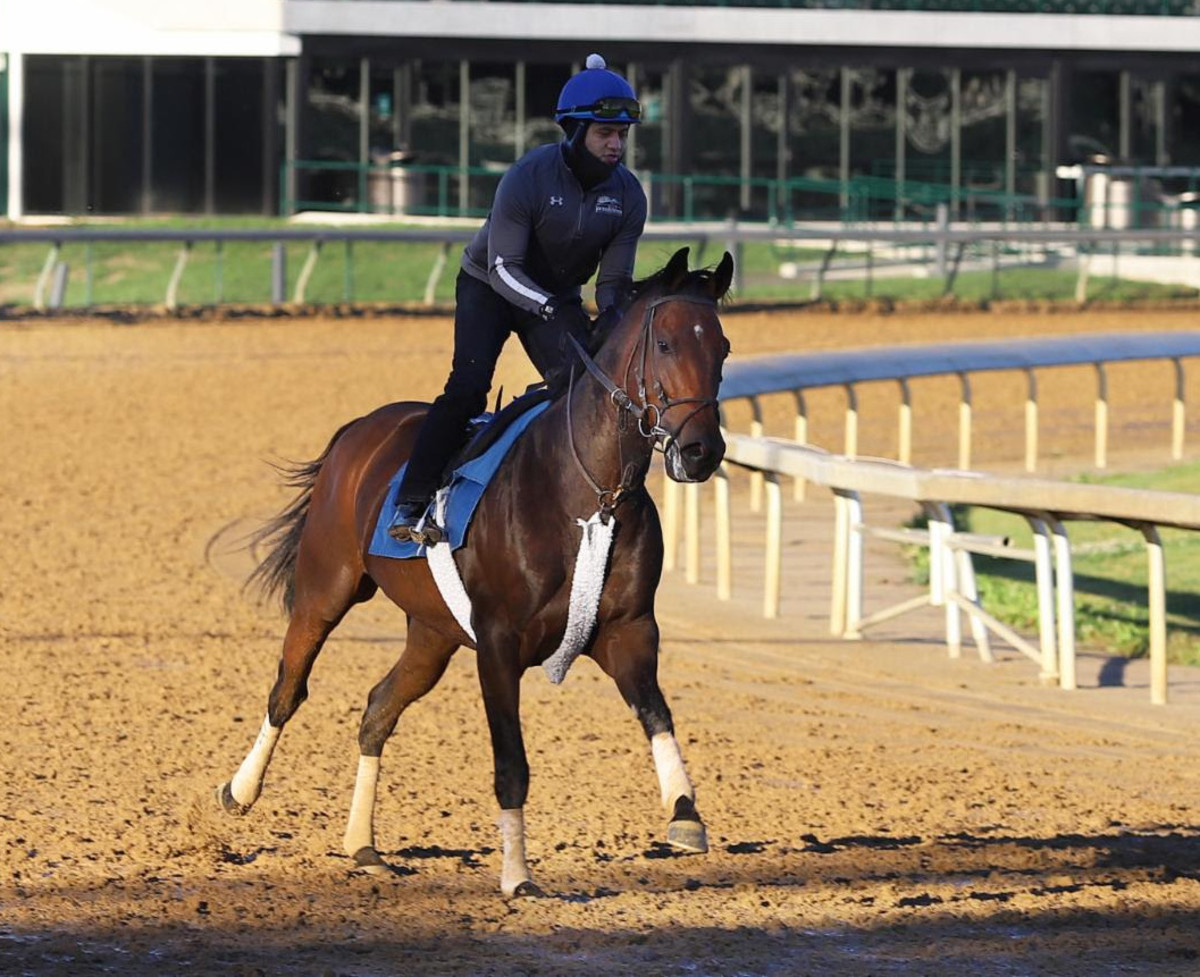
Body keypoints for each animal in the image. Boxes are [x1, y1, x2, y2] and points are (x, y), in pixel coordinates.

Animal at [220, 248, 734, 897]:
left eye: (722, 348)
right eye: (665, 344)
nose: (701, 451)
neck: (587, 494)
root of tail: (358, 429)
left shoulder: (630, 630)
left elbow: (658, 716)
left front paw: (686, 815)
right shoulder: (498, 642)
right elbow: (511, 762)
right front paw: (517, 875)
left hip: (432, 632)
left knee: (378, 709)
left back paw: (362, 843)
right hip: (326, 588)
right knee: (289, 688)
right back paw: (240, 790)